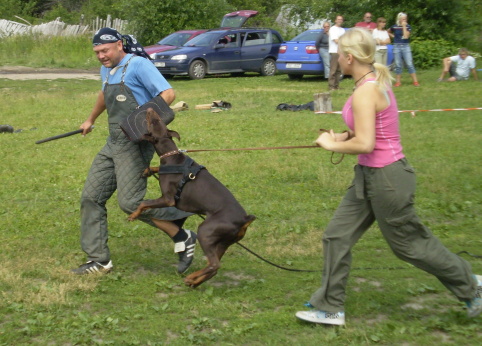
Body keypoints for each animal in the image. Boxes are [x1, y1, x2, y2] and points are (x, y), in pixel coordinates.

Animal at [128, 109, 256, 288]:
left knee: (214, 264)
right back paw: (194, 281)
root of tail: (245, 220)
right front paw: (148, 170)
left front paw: (134, 215)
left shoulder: (168, 199)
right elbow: (157, 169)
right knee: (214, 266)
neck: (172, 156)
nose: (149, 110)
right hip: (224, 241)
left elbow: (145, 203)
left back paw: (191, 278)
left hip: (206, 231)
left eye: (154, 122)